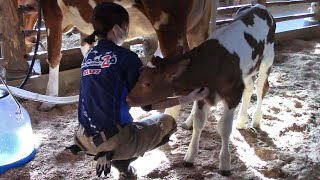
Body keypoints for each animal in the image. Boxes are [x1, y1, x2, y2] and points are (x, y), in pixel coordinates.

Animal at [21, 0, 219, 111]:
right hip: (197, 24)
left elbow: (54, 55)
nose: (27, 40)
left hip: (168, 24)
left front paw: (49, 100)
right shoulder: (86, 24)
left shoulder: (52, 15)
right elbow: (86, 50)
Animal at [126, 4, 276, 176]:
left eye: (148, 84)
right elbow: (198, 123)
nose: (128, 99)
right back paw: (241, 121)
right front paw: (190, 156)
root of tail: (259, 6)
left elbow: (224, 128)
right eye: (139, 75)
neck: (212, 64)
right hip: (247, 71)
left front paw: (225, 163)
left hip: (267, 59)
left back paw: (256, 120)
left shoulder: (232, 95)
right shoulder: (202, 95)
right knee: (249, 87)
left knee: (261, 87)